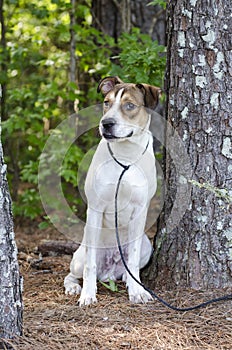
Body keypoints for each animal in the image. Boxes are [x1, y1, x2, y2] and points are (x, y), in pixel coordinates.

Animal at [63, 75, 161, 304]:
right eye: (106, 102)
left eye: (129, 105)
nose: (106, 123)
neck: (126, 155)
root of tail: (109, 268)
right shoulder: (96, 208)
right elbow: (90, 265)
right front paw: (88, 294)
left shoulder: (141, 209)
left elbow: (132, 258)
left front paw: (137, 291)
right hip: (80, 254)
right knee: (72, 273)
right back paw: (73, 287)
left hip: (147, 246)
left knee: (130, 264)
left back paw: (127, 278)